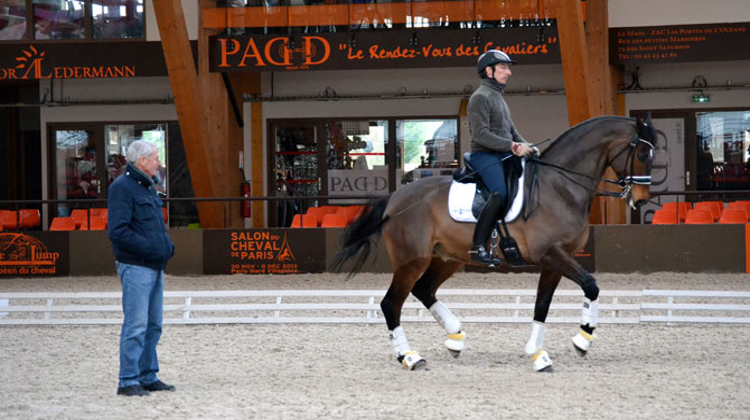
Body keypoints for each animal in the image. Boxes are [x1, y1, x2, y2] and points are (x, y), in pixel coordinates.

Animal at [334, 114, 656, 370]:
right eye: (642, 153)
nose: (641, 200)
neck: (560, 186)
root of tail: (394, 199)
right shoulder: (551, 254)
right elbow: (591, 285)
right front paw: (583, 339)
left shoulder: (555, 261)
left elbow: (542, 305)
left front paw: (537, 354)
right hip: (411, 260)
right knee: (391, 304)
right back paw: (410, 357)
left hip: (447, 259)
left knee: (424, 290)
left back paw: (455, 338)